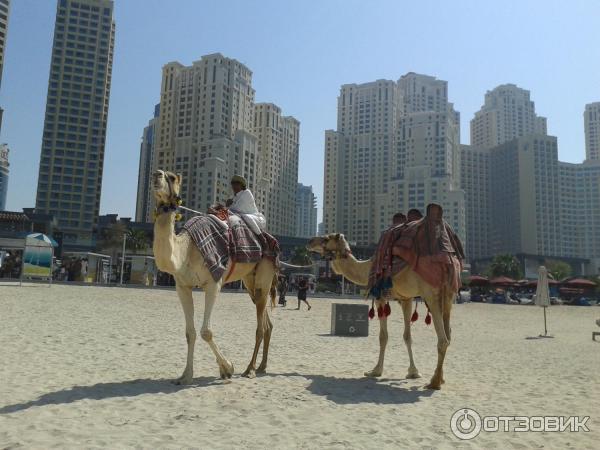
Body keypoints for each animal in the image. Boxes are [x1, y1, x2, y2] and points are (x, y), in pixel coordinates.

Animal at [154, 170, 278, 384]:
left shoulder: (213, 283)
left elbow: (206, 331)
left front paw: (228, 368)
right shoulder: (182, 286)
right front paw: (185, 375)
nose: (156, 174)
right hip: (250, 281)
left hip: (265, 272)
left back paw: (250, 370)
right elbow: (190, 332)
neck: (186, 249)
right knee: (267, 323)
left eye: (172, 177)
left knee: (260, 327)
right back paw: (262, 366)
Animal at [308, 234, 458, 388]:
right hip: (448, 296)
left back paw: (434, 382)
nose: (310, 242)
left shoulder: (380, 297)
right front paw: (413, 372)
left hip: (431, 294)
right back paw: (441, 378)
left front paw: (375, 371)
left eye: (326, 239)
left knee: (443, 339)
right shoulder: (406, 298)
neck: (367, 269)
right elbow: (407, 336)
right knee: (448, 335)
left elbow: (383, 336)